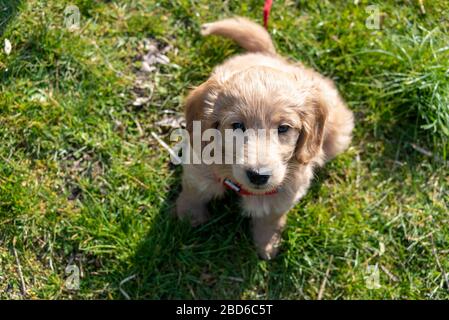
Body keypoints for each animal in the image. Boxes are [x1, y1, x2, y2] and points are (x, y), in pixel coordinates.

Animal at [175, 16, 354, 258]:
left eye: (284, 128)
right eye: (237, 125)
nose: (259, 176)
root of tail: (271, 56)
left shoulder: (287, 187)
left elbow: (271, 216)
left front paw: (267, 243)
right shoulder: (200, 161)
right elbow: (194, 190)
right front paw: (188, 216)